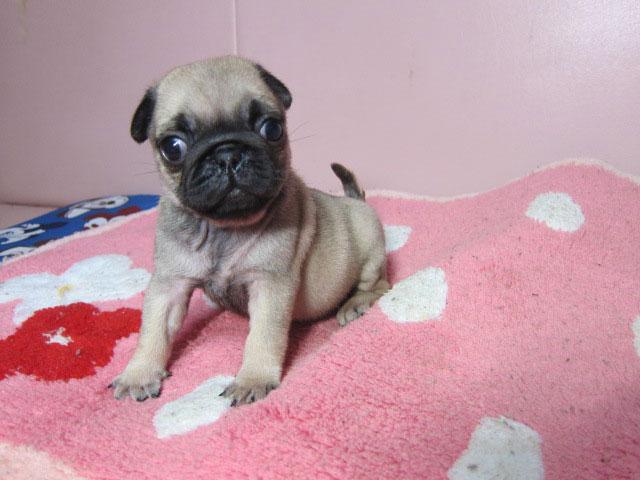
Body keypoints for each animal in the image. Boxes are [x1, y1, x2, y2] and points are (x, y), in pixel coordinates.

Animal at [111, 56, 389, 406]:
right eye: (172, 147)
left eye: (272, 128)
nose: (227, 153)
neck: (223, 228)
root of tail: (354, 201)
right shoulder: (169, 285)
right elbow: (154, 329)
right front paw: (140, 373)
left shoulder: (269, 284)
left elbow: (263, 336)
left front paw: (253, 379)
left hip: (369, 249)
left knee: (381, 284)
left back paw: (356, 303)